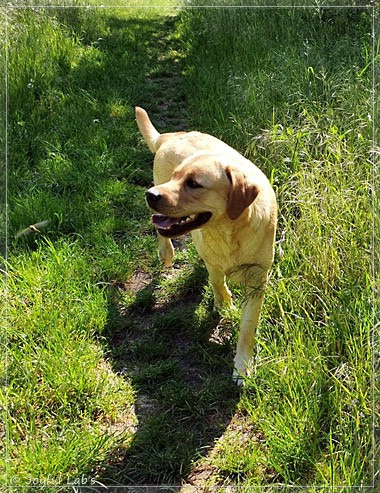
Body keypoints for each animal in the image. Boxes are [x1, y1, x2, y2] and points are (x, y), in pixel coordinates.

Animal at [136, 106, 276, 384]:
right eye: (176, 177)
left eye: (194, 184)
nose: (150, 195)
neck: (229, 231)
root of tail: (171, 136)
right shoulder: (213, 260)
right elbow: (217, 281)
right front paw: (224, 303)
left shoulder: (258, 280)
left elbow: (248, 327)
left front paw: (243, 365)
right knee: (160, 230)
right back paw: (166, 252)